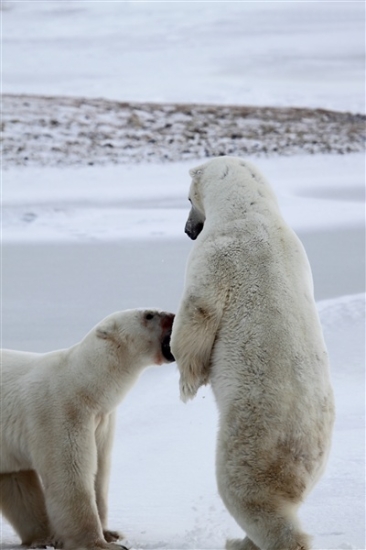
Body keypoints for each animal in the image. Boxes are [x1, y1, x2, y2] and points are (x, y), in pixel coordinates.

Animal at [0, 308, 174, 550]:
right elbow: (71, 476)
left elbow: (99, 471)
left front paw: (110, 533)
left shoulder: (102, 421)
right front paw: (99, 543)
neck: (84, 385)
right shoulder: (61, 412)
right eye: (148, 315)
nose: (174, 315)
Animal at [170, 156, 336, 550]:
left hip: (256, 437)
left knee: (248, 494)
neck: (249, 209)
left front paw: (187, 382)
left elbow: (198, 308)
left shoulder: (218, 253)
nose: (188, 230)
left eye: (188, 198)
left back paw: (245, 540)